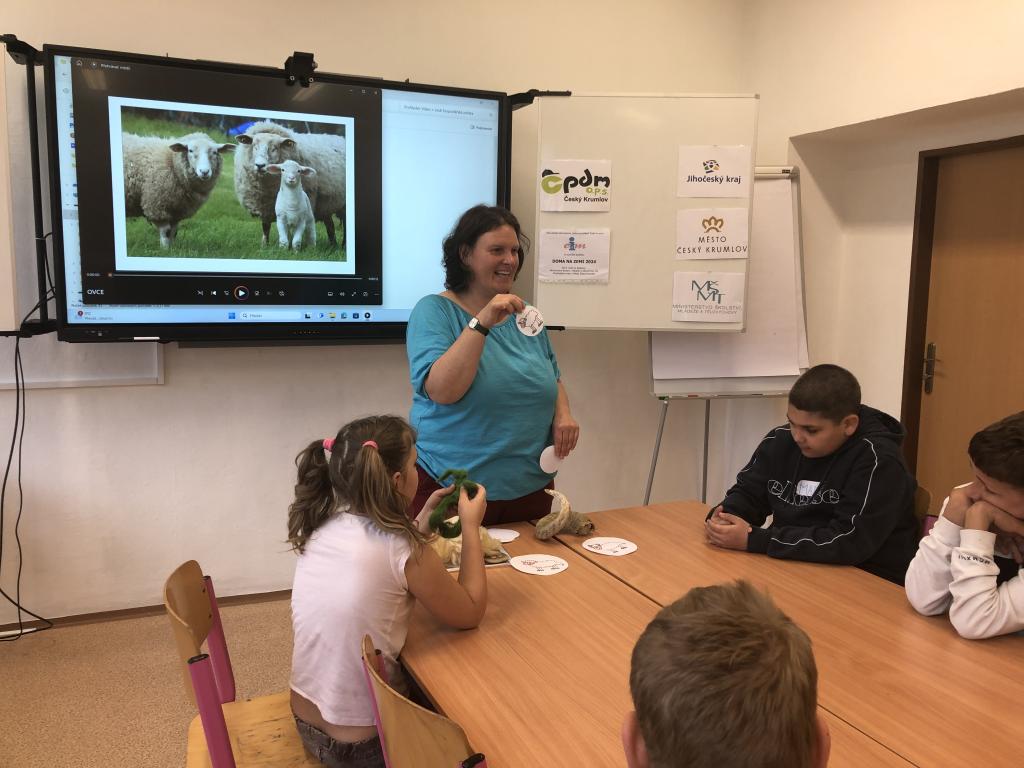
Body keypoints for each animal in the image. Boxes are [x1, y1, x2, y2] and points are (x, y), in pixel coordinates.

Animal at [233, 120, 346, 249]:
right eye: (254, 146)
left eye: (274, 148)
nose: (260, 165)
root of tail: (340, 138)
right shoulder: (265, 205)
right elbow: (266, 227)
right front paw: (264, 245)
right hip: (326, 203)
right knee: (330, 226)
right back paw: (333, 245)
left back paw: (343, 246)